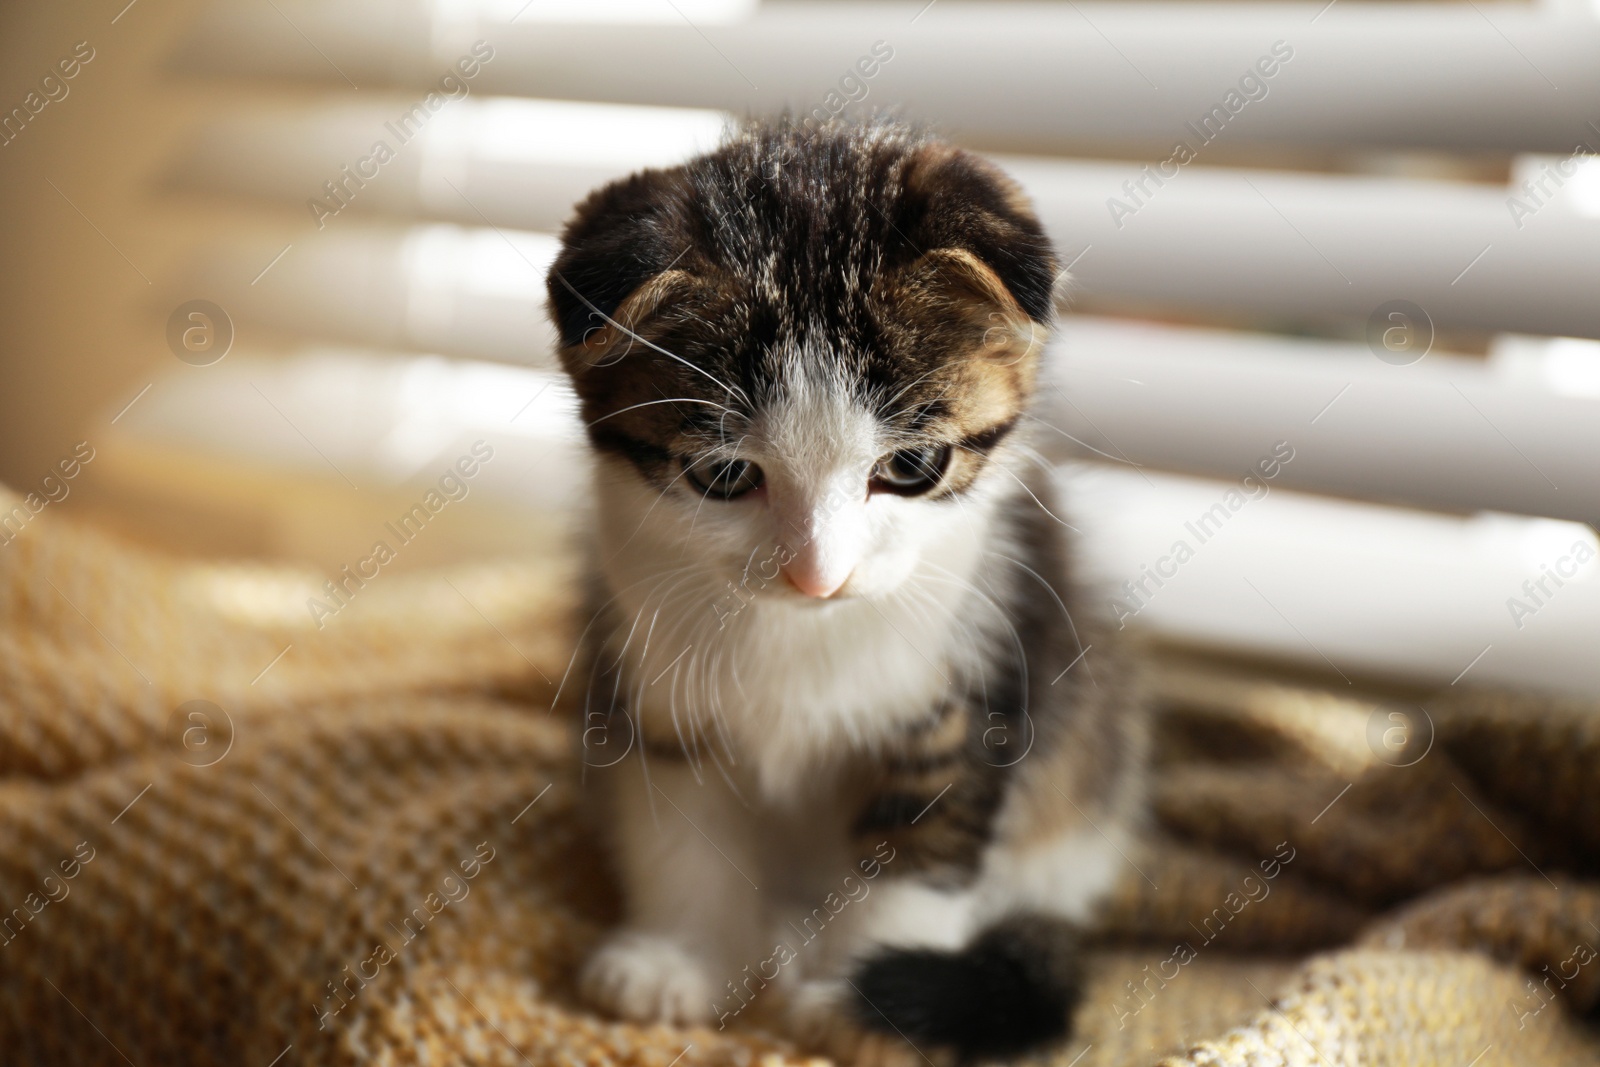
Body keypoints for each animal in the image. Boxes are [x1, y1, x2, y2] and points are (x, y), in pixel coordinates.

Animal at [550, 119, 1152, 1067]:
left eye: (910, 467)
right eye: (726, 474)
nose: (817, 574)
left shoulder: (971, 681)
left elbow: (919, 844)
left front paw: (860, 1002)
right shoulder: (652, 677)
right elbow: (680, 822)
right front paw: (680, 955)